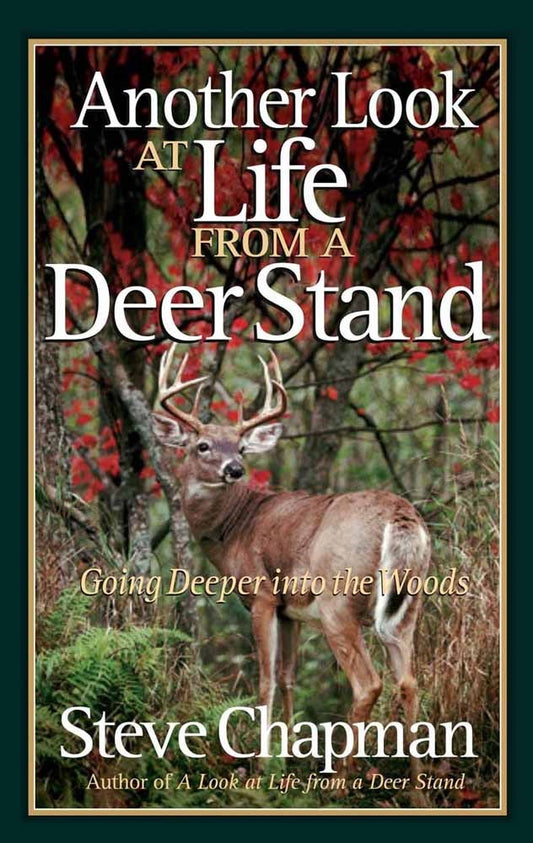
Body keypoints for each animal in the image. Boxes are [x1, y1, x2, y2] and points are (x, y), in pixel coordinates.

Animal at [152, 344, 431, 787]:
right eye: (203, 445)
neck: (235, 527)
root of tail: (401, 516)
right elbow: (287, 677)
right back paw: (418, 786)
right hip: (409, 605)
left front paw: (260, 766)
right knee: (409, 681)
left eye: (241, 448)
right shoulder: (291, 611)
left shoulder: (263, 596)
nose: (235, 469)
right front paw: (289, 758)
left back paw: (339, 782)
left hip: (339, 602)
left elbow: (265, 681)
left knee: (368, 684)